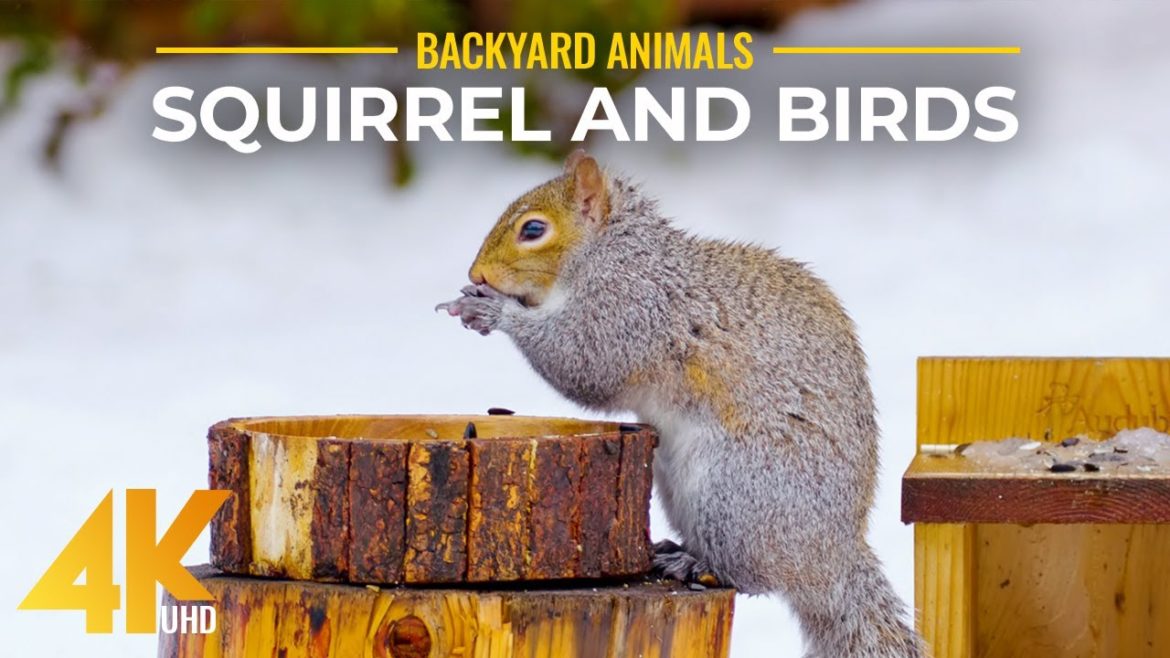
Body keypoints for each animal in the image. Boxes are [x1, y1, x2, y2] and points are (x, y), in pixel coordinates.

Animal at [437, 151, 924, 658]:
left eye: (533, 229)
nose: (476, 275)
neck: (613, 253)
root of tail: (831, 562)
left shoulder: (630, 311)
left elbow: (583, 361)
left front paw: (492, 310)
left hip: (734, 494)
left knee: (752, 575)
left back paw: (694, 566)